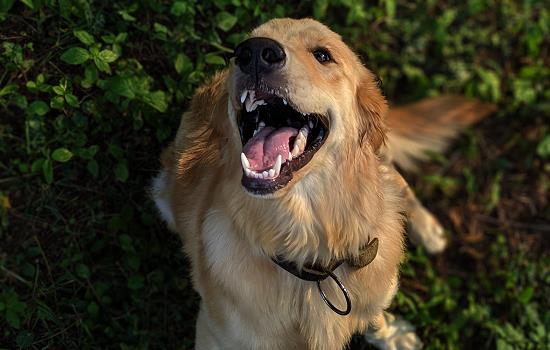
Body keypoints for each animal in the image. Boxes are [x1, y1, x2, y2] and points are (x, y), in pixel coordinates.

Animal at [153, 18, 498, 350]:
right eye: (244, 46)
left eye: (322, 55)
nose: (254, 52)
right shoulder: (216, 336)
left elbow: (375, 316)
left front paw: (392, 335)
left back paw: (429, 230)